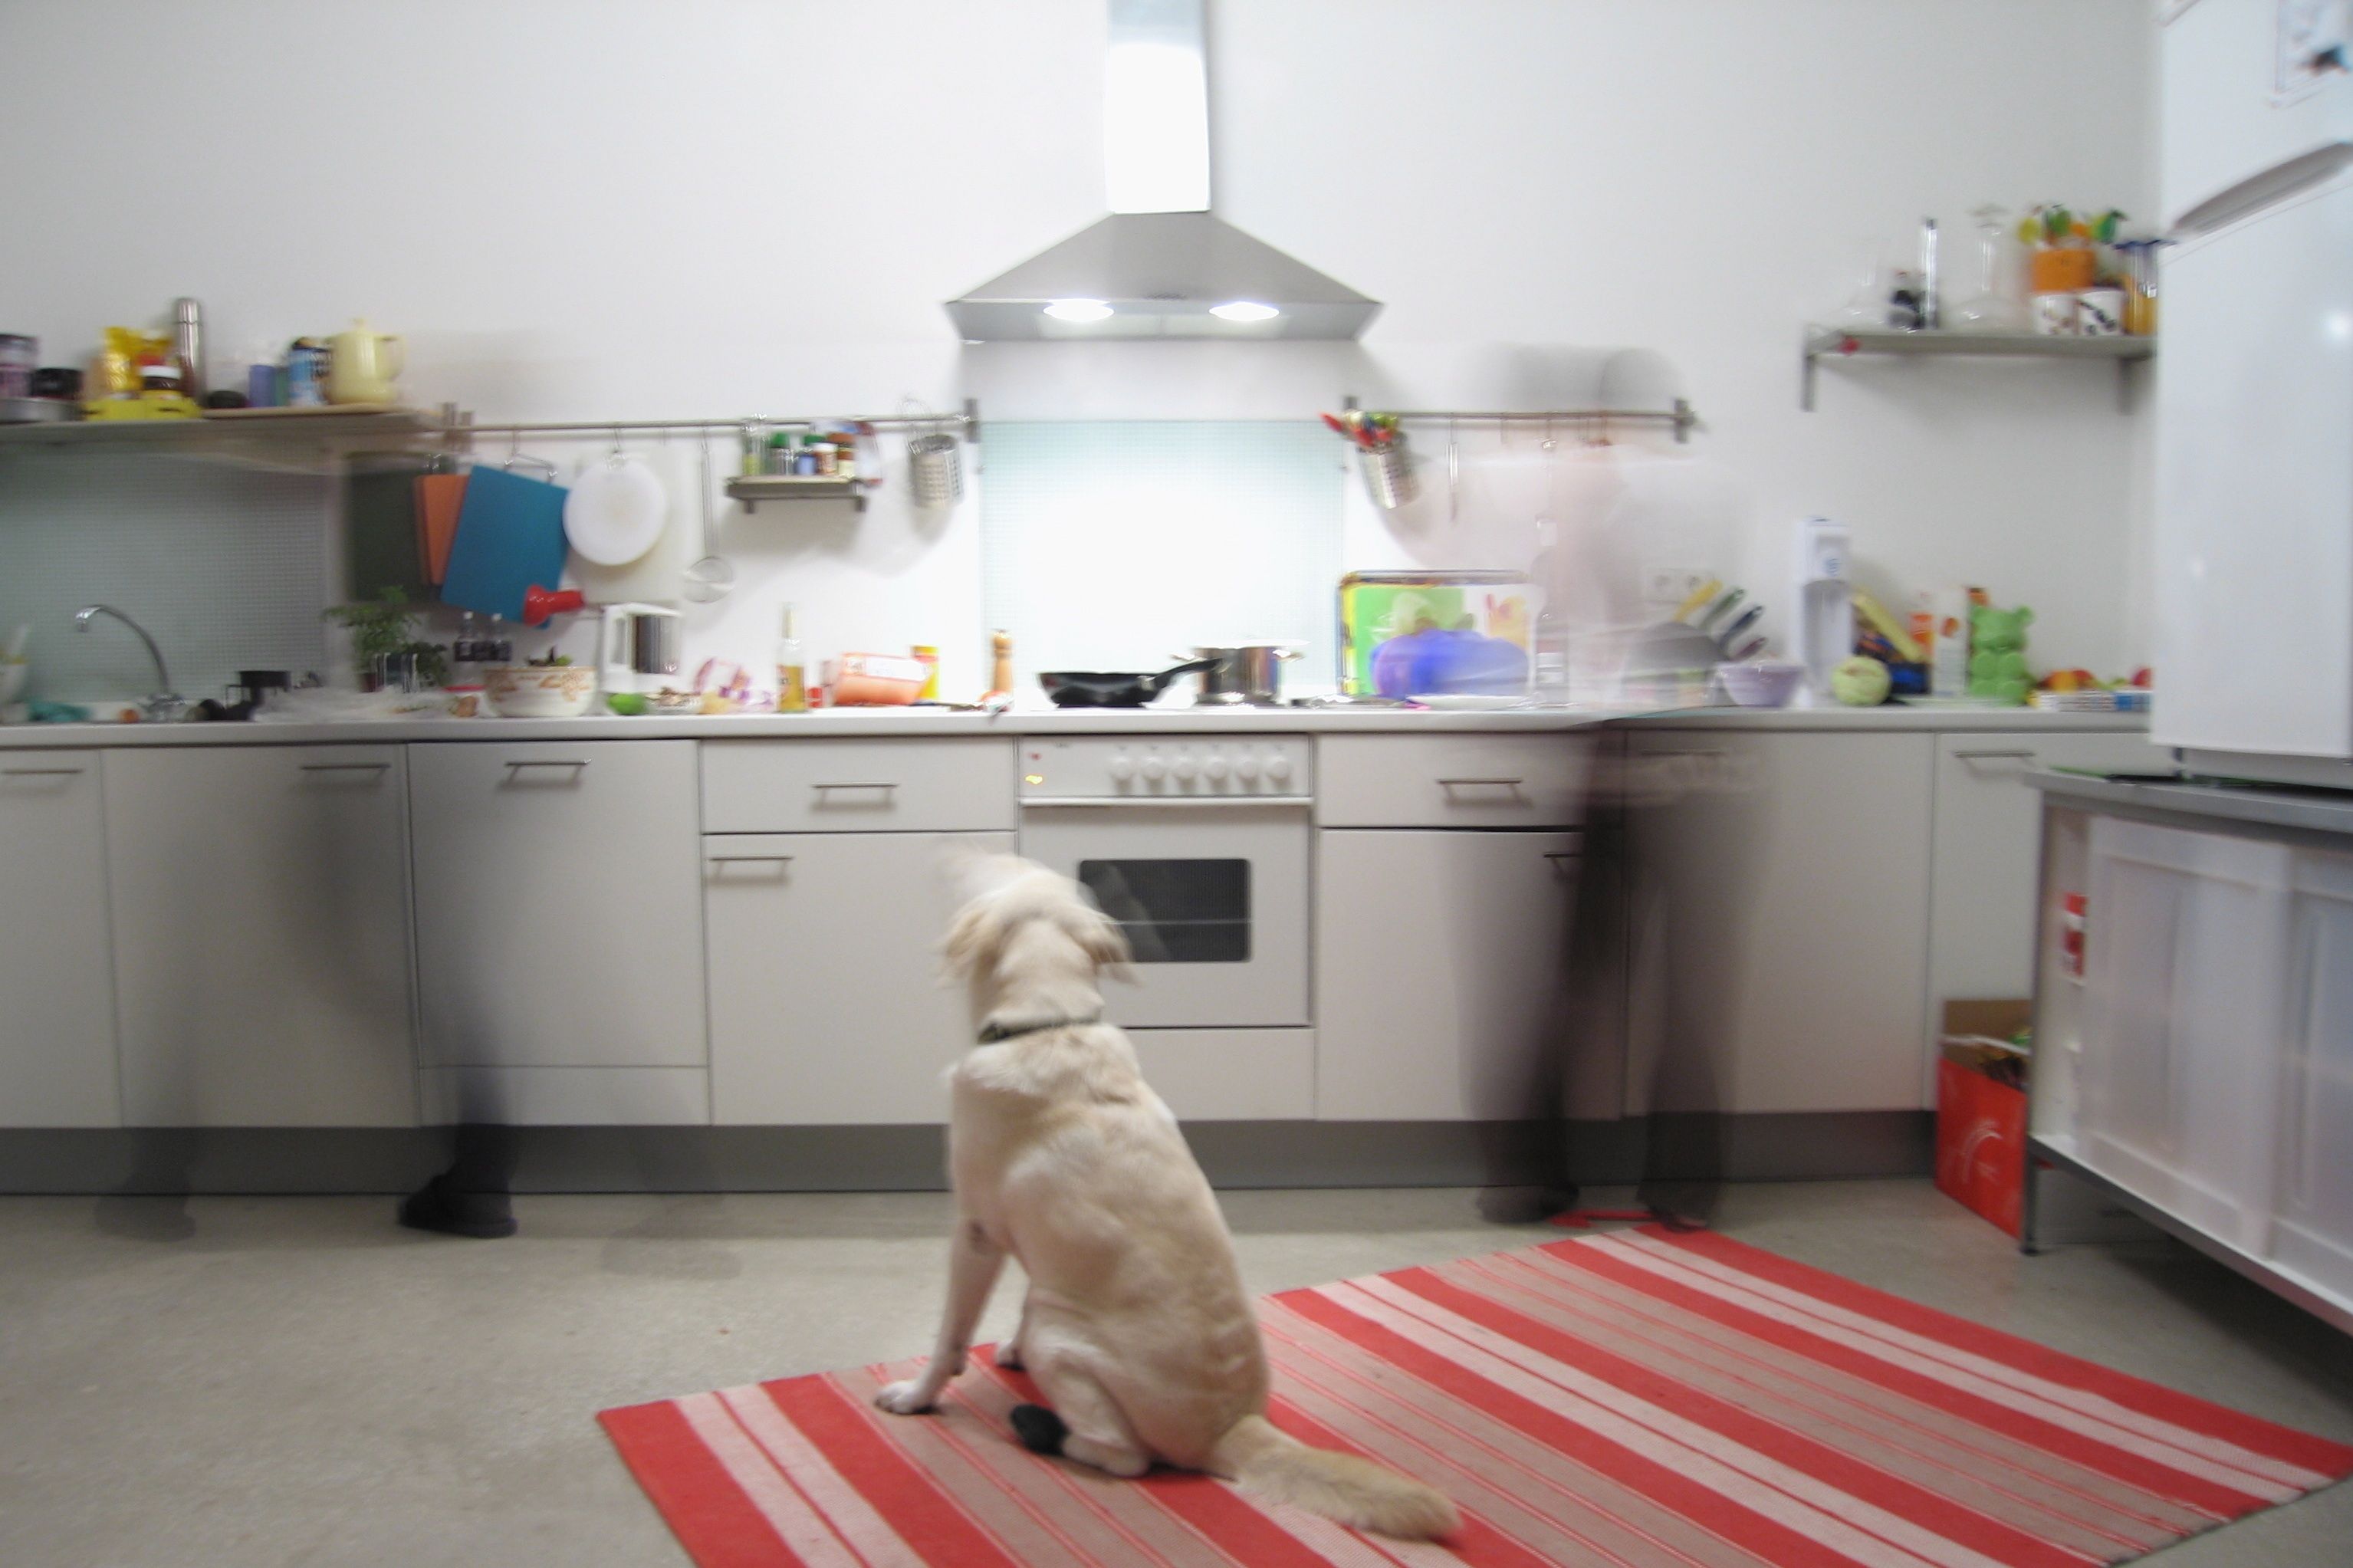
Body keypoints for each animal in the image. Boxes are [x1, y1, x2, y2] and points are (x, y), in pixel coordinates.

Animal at [875, 847, 1458, 1535]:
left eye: (1003, 866)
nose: (951, 847)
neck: (1046, 1024)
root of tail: (1233, 1429)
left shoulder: (975, 1233)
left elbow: (949, 1338)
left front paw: (916, 1396)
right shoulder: (1034, 1248)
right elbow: (1016, 1300)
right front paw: (1006, 1349)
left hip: (1061, 1334)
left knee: (1124, 1456)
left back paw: (1038, 1427)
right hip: (1056, 1311)